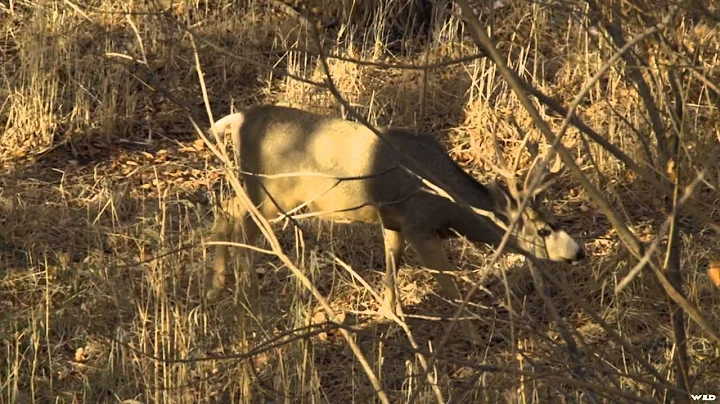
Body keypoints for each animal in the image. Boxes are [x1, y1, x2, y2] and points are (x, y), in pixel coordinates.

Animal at [207, 105, 585, 313]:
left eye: (556, 218)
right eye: (543, 229)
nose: (579, 252)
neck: (449, 204)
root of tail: (238, 119)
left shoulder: (394, 221)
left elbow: (392, 265)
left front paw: (390, 312)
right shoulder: (419, 224)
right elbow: (448, 285)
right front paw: (472, 330)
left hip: (258, 188)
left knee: (226, 209)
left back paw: (219, 284)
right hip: (270, 191)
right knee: (239, 218)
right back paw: (244, 290)